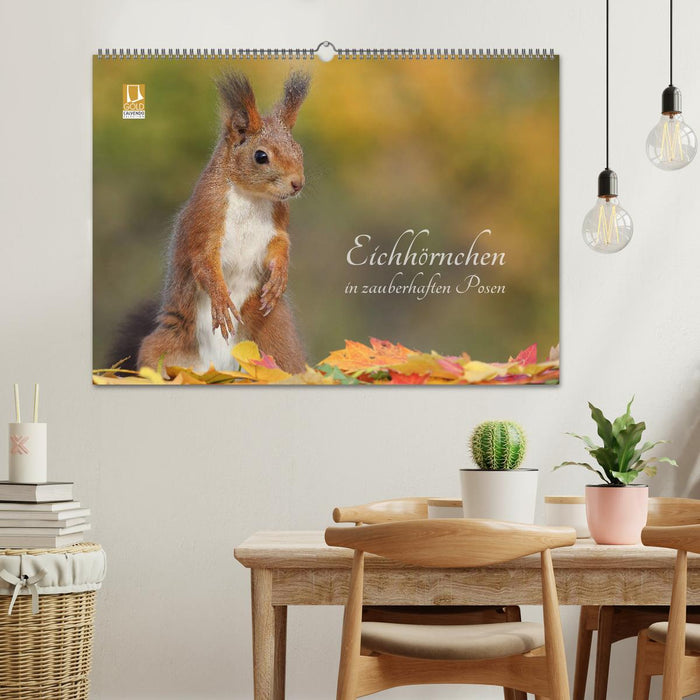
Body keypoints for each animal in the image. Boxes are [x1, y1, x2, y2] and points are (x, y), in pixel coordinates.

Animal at [133, 71, 310, 375]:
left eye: (298, 149)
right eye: (261, 156)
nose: (297, 183)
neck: (251, 198)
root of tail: (217, 369)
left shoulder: (277, 225)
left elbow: (280, 245)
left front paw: (279, 276)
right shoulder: (205, 219)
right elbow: (204, 262)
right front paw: (220, 299)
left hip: (276, 339)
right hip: (165, 345)